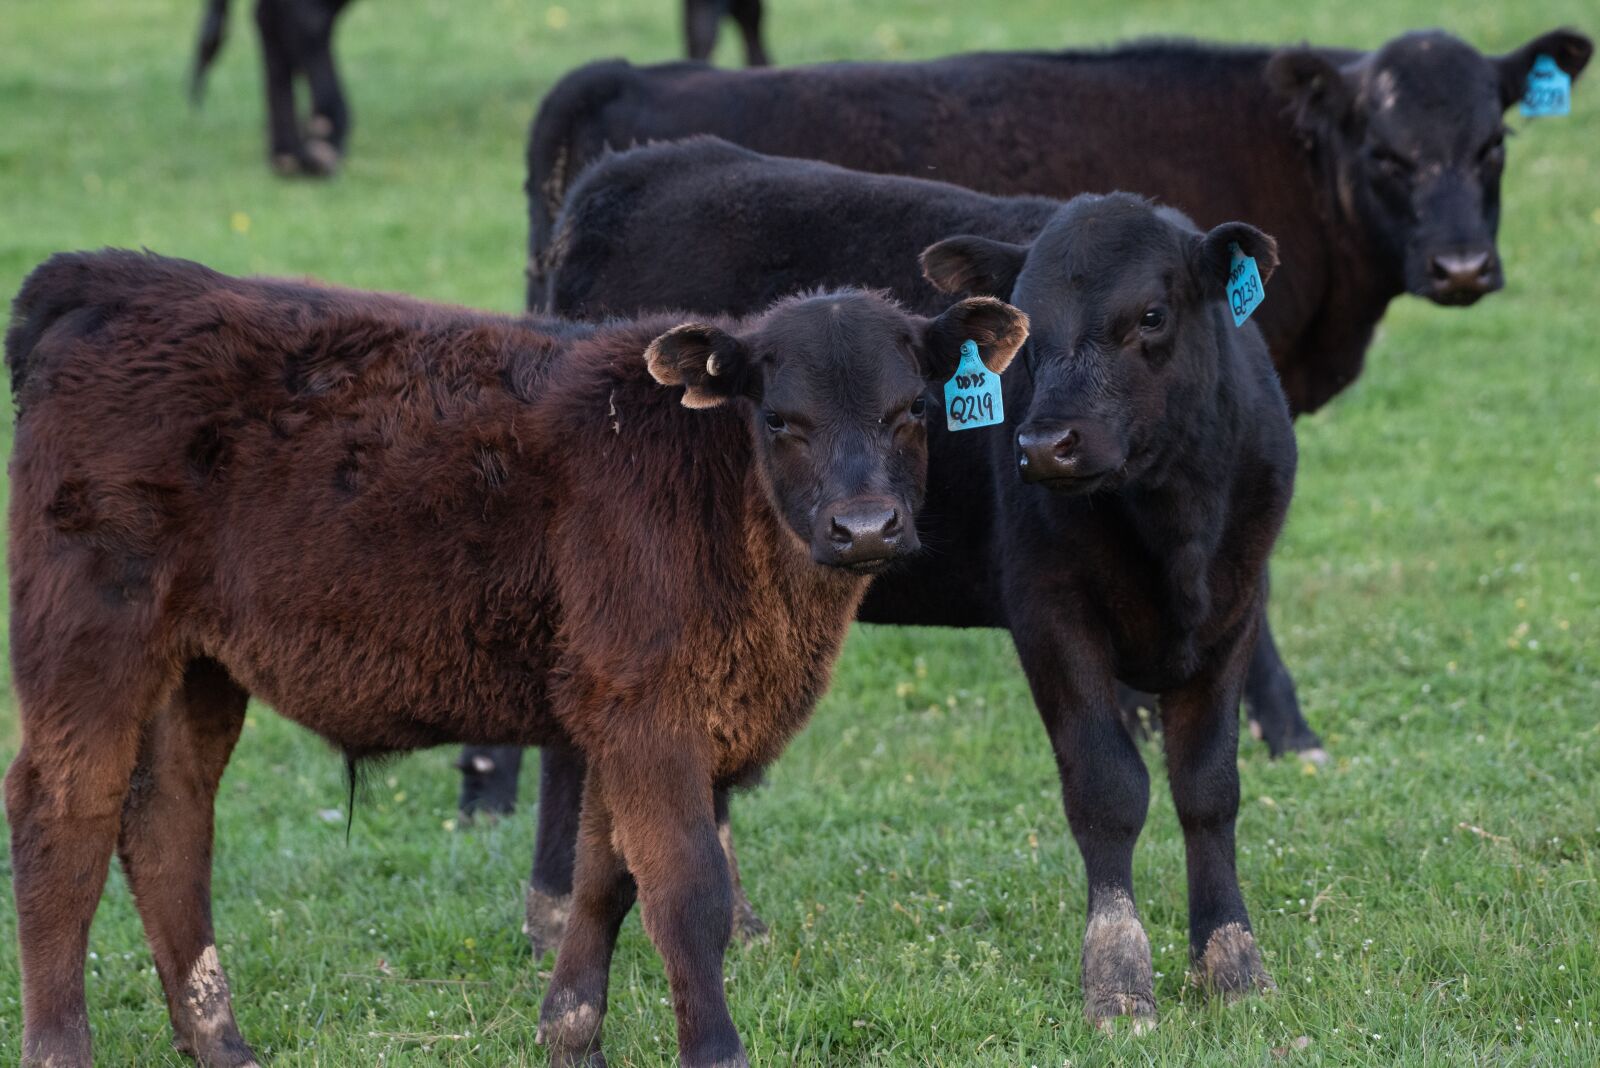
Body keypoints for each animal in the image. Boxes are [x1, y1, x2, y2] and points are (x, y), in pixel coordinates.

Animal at [3, 247, 1027, 1067]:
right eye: (781, 418)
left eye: (911, 410)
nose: (867, 527)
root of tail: (114, 280)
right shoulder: (650, 711)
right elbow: (687, 886)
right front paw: (714, 1049)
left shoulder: (622, 713)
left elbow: (607, 875)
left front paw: (571, 1031)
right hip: (89, 639)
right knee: (65, 816)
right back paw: (61, 1046)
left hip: (198, 666)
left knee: (168, 820)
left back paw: (220, 1042)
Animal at [536, 152, 1301, 1029]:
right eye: (1028, 329)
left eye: (1151, 315)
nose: (1045, 444)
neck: (1174, 528)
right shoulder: (1049, 611)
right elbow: (1108, 787)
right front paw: (1117, 975)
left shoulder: (1236, 607)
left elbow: (1209, 788)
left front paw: (1232, 961)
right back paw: (553, 916)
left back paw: (739, 923)